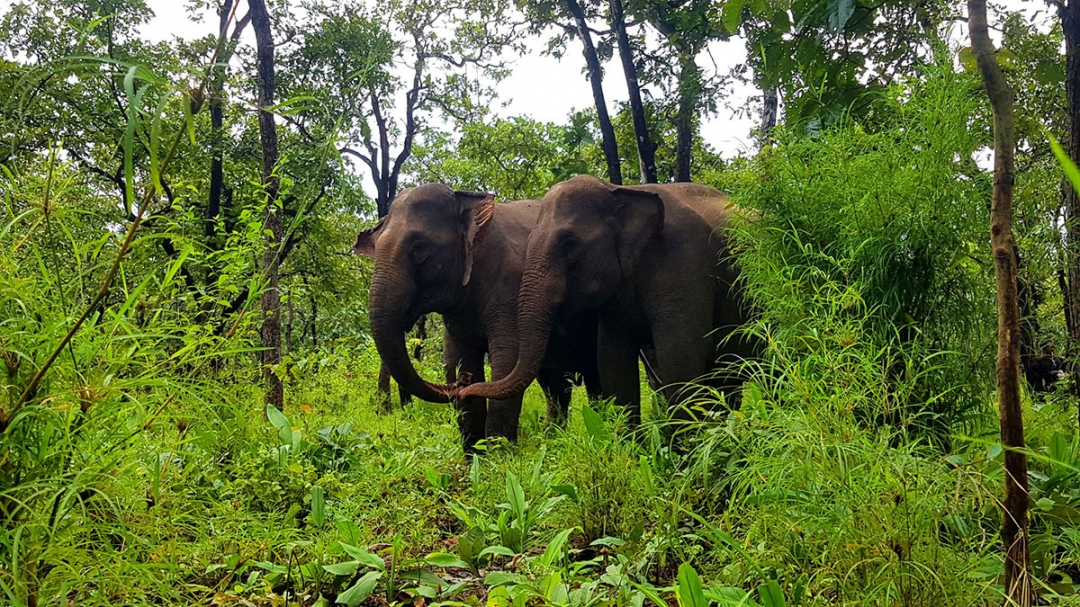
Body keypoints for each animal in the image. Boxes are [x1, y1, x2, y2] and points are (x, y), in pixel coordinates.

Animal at [356, 183, 604, 449]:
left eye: (419, 249)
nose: (464, 382)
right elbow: (458, 358)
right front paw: (475, 455)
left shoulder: (512, 292)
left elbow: (507, 360)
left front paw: (499, 454)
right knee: (556, 386)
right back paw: (553, 441)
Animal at [455, 173, 760, 421]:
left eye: (570, 244)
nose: (464, 385)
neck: (620, 191)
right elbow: (613, 360)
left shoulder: (685, 263)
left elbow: (679, 357)